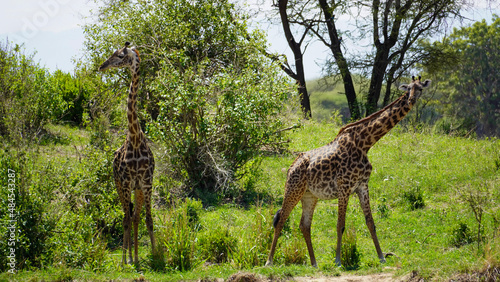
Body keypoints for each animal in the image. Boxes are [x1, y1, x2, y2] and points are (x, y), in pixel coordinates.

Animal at [98, 41, 155, 266]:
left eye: (120, 56)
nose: (102, 66)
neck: (136, 139)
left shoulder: (145, 182)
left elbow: (148, 219)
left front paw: (157, 256)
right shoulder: (127, 181)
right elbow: (126, 219)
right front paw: (125, 260)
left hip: (135, 189)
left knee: (134, 216)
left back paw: (135, 257)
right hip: (119, 185)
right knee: (125, 216)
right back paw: (127, 258)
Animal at [266, 76, 430, 268]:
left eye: (420, 89)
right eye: (409, 88)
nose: (411, 100)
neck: (365, 143)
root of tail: (291, 167)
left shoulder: (362, 186)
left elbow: (370, 222)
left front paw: (381, 257)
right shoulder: (344, 186)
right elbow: (340, 224)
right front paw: (338, 260)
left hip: (309, 196)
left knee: (304, 225)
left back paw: (314, 263)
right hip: (293, 189)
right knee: (281, 219)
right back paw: (269, 261)